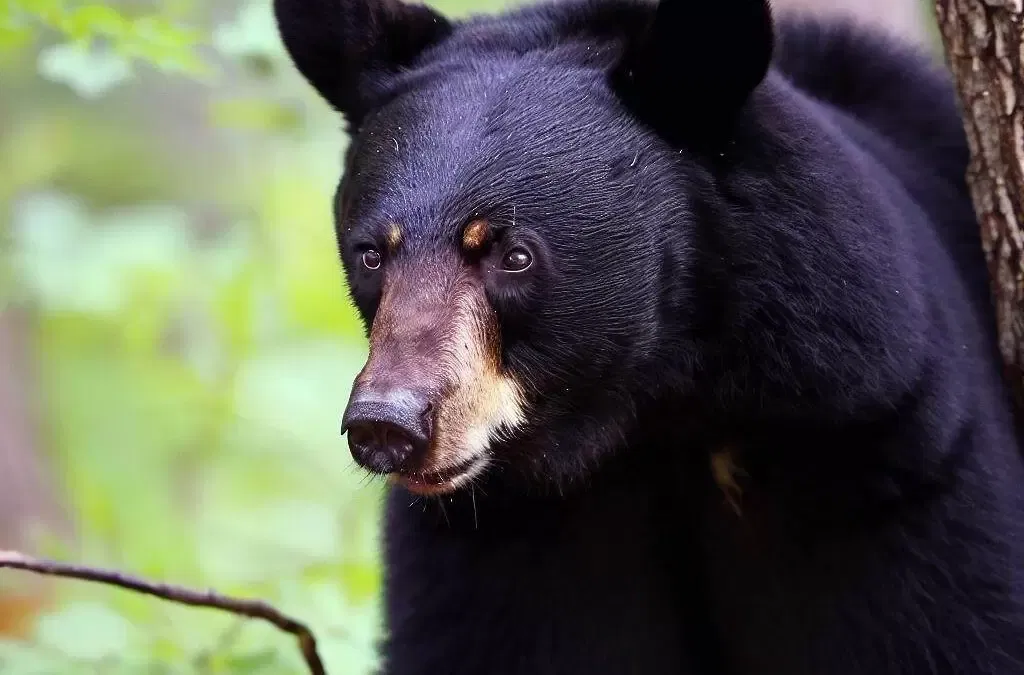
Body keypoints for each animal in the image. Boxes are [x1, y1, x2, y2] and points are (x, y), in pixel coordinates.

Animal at [272, 0, 1024, 673]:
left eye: (513, 254)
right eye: (371, 253)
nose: (387, 424)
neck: (664, 417)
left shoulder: (885, 456)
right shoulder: (501, 543)